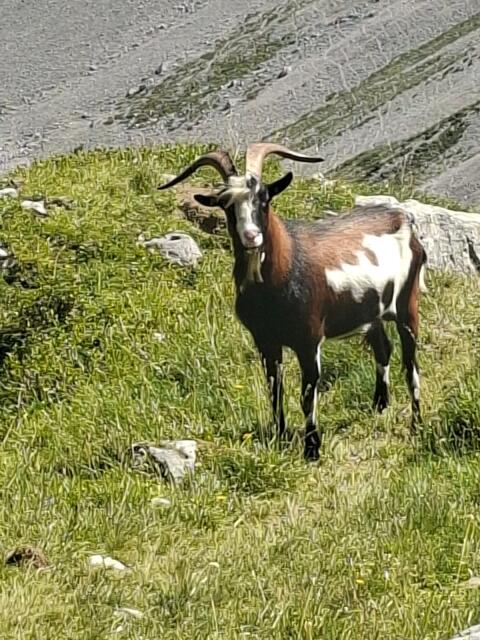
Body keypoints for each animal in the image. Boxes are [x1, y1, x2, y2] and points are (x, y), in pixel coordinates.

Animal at [158, 143, 427, 460]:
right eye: (226, 204)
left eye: (264, 197)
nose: (251, 236)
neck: (281, 275)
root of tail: (404, 220)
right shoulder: (265, 341)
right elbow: (275, 391)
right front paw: (280, 437)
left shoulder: (308, 339)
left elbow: (307, 394)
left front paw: (312, 448)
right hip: (371, 314)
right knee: (383, 349)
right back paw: (379, 406)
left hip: (407, 304)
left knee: (410, 365)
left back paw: (417, 425)